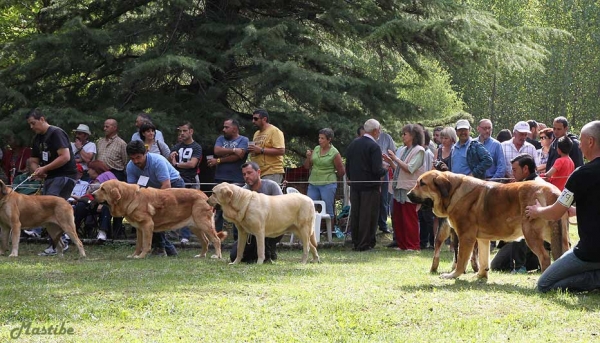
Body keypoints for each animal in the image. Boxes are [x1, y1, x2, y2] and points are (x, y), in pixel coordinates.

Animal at [92, 181, 226, 260]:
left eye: (103, 189)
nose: (92, 194)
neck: (130, 197)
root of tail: (205, 196)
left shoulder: (147, 226)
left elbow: (146, 244)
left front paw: (141, 256)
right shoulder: (139, 229)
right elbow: (138, 245)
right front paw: (134, 255)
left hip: (204, 224)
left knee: (216, 240)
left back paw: (217, 256)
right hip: (195, 226)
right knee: (205, 241)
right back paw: (201, 255)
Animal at [406, 171, 568, 280]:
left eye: (422, 183)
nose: (408, 194)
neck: (453, 191)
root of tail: (552, 191)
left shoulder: (466, 237)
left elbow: (461, 260)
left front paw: (453, 275)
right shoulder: (482, 239)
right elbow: (483, 259)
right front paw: (481, 276)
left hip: (531, 234)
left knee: (545, 257)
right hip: (558, 236)